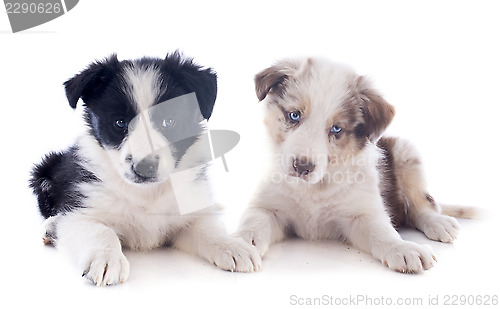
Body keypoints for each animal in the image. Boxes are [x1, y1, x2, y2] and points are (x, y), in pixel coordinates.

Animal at [30, 52, 260, 284]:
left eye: (169, 121)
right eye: (119, 122)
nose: (145, 167)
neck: (146, 193)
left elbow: (207, 227)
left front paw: (233, 246)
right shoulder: (82, 208)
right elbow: (99, 230)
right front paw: (106, 258)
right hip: (45, 171)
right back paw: (51, 228)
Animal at [234, 57, 472, 272]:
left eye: (336, 129)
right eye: (294, 115)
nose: (301, 167)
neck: (314, 188)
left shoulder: (361, 214)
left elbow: (382, 232)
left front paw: (403, 248)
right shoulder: (268, 207)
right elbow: (254, 223)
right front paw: (238, 245)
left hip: (406, 152)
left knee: (422, 205)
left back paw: (439, 223)